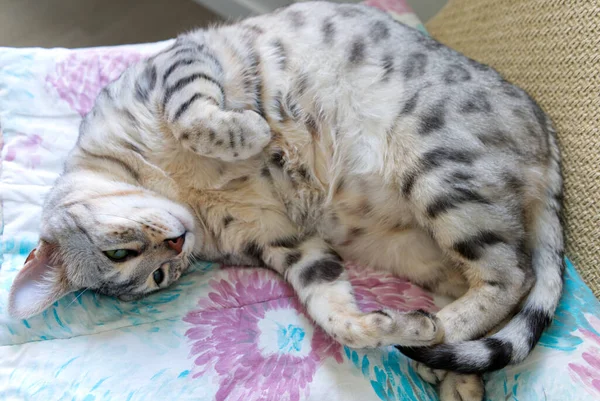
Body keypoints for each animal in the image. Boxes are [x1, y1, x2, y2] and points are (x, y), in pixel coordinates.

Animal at [7, 1, 564, 398]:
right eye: (159, 278)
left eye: (119, 252)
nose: (177, 242)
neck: (184, 194)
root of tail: (544, 128)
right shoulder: (286, 241)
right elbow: (333, 311)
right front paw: (376, 325)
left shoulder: (175, 66)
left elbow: (194, 117)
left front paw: (249, 131)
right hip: (420, 241)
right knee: (493, 281)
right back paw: (450, 364)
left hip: (436, 165)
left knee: (513, 275)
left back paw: (436, 334)